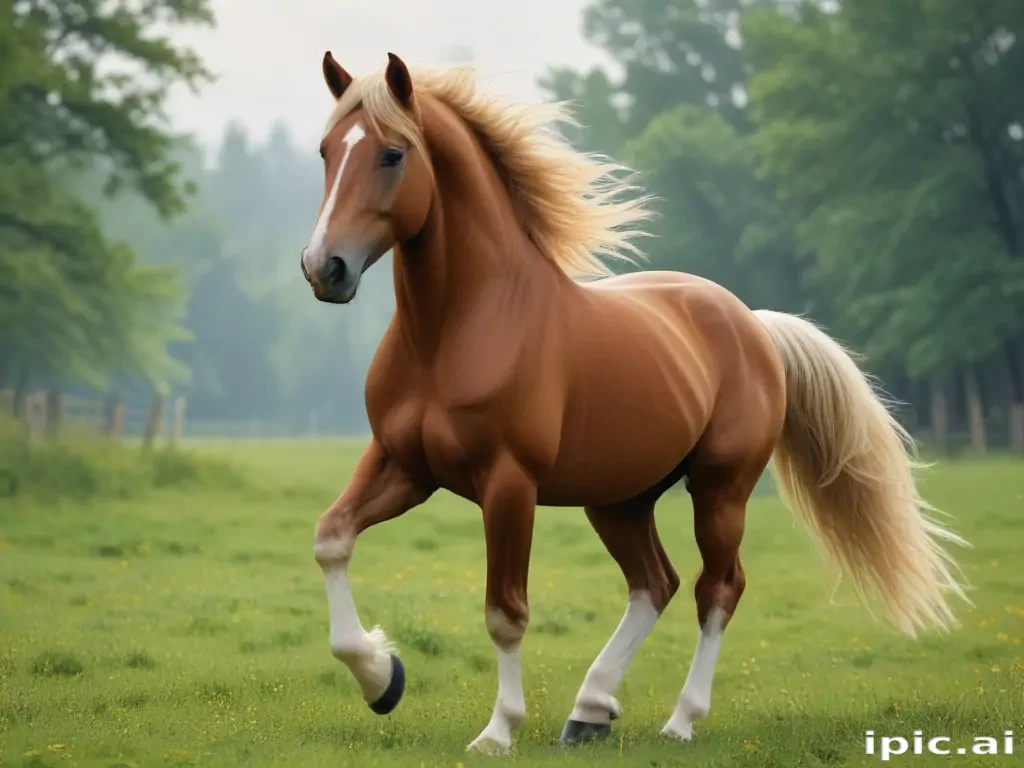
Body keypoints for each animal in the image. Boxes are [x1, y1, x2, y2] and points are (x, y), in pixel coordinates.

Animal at [298, 51, 969, 755]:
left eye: (392, 154)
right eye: (325, 150)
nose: (325, 268)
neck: (455, 330)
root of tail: (754, 325)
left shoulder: (507, 484)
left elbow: (506, 611)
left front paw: (498, 731)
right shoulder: (404, 466)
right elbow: (331, 539)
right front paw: (383, 677)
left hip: (720, 490)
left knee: (716, 588)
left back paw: (679, 720)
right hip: (619, 500)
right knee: (656, 583)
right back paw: (590, 710)